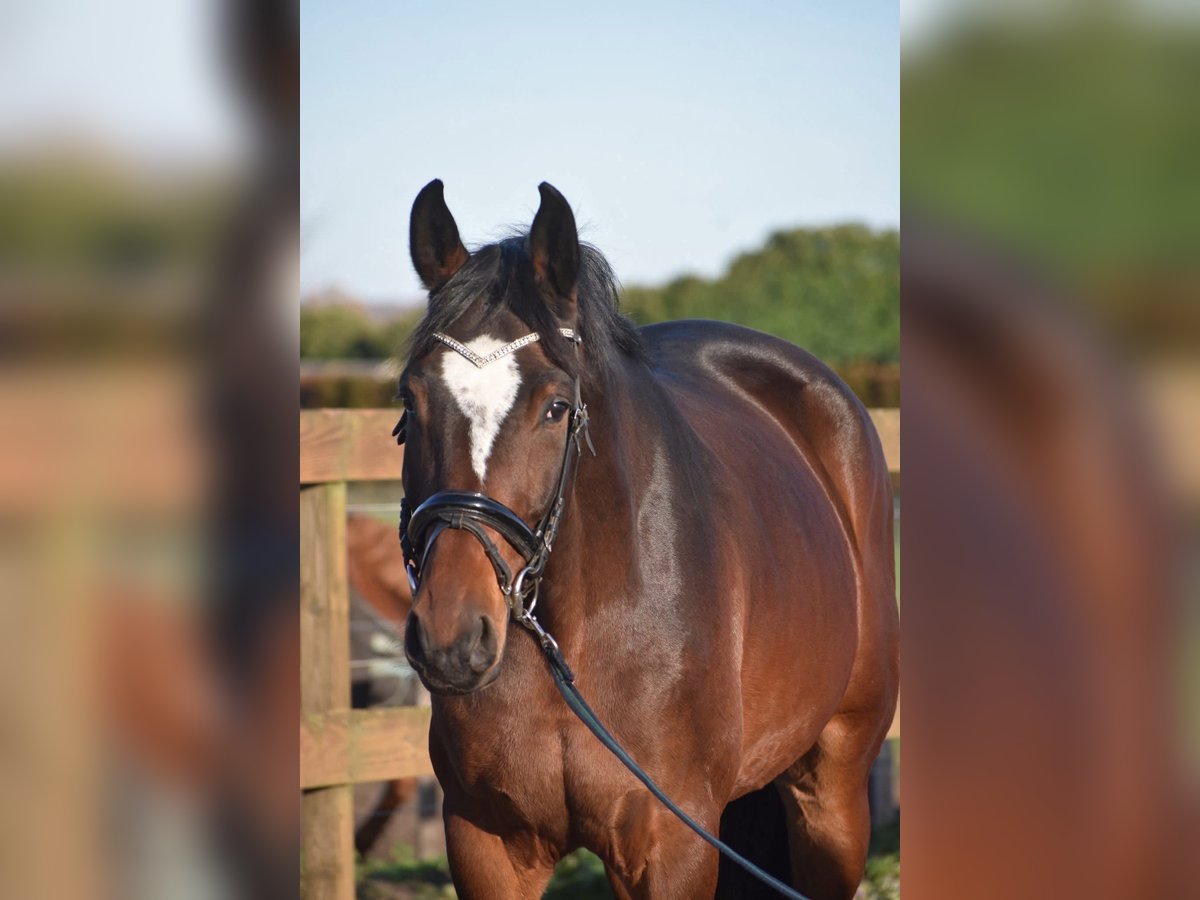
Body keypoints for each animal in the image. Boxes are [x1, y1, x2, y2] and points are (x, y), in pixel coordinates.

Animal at [395, 179, 898, 900]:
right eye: (410, 402)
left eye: (555, 407)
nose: (451, 636)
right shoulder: (485, 844)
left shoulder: (670, 847)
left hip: (833, 793)